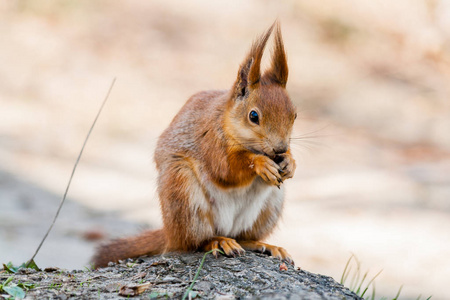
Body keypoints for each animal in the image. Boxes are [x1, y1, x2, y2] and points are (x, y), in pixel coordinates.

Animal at [92, 22, 298, 268]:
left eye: (295, 115)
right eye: (253, 116)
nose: (279, 148)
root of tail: (170, 233)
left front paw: (290, 163)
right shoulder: (211, 141)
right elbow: (226, 169)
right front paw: (260, 163)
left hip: (269, 208)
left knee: (243, 237)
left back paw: (264, 245)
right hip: (183, 193)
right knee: (194, 242)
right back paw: (218, 241)